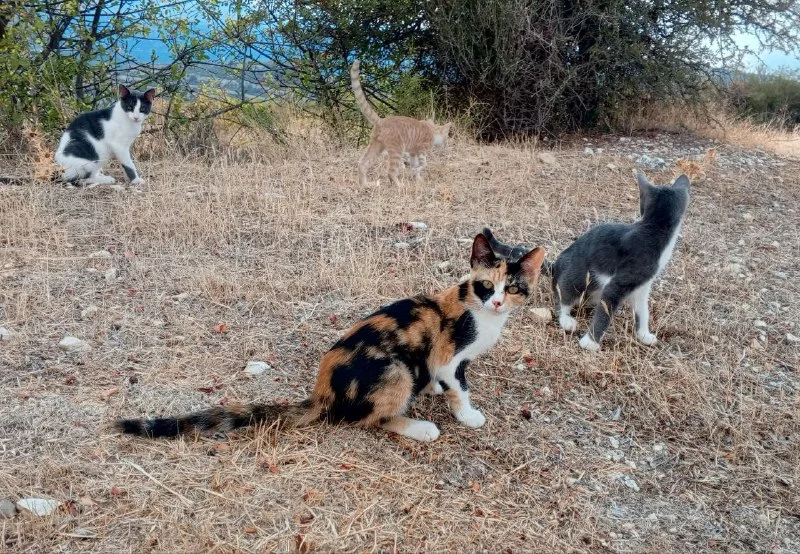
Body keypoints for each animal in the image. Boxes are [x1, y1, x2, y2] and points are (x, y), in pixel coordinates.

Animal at [116, 234, 545, 442]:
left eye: (513, 288)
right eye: (486, 285)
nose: (496, 301)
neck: (479, 313)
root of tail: (322, 390)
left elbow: (444, 381)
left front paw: (436, 390)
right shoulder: (448, 355)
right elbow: (459, 386)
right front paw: (467, 414)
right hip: (396, 371)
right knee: (368, 419)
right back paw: (419, 428)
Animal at [483, 170, 690, 352]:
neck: (654, 229)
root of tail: (556, 265)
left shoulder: (642, 285)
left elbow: (642, 310)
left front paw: (644, 334)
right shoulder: (620, 282)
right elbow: (605, 313)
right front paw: (590, 342)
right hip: (576, 277)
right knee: (563, 299)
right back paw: (566, 319)